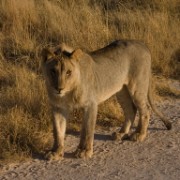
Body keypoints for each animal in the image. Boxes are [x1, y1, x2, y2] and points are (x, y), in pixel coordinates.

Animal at [41, 40, 172, 160]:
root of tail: (142, 44)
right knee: (131, 110)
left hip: (137, 87)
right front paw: (55, 152)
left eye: (68, 72)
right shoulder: (58, 107)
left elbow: (87, 130)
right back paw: (121, 134)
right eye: (53, 71)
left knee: (146, 109)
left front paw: (84, 151)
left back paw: (139, 135)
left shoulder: (90, 104)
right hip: (121, 91)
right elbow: (58, 131)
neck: (67, 93)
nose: (59, 88)